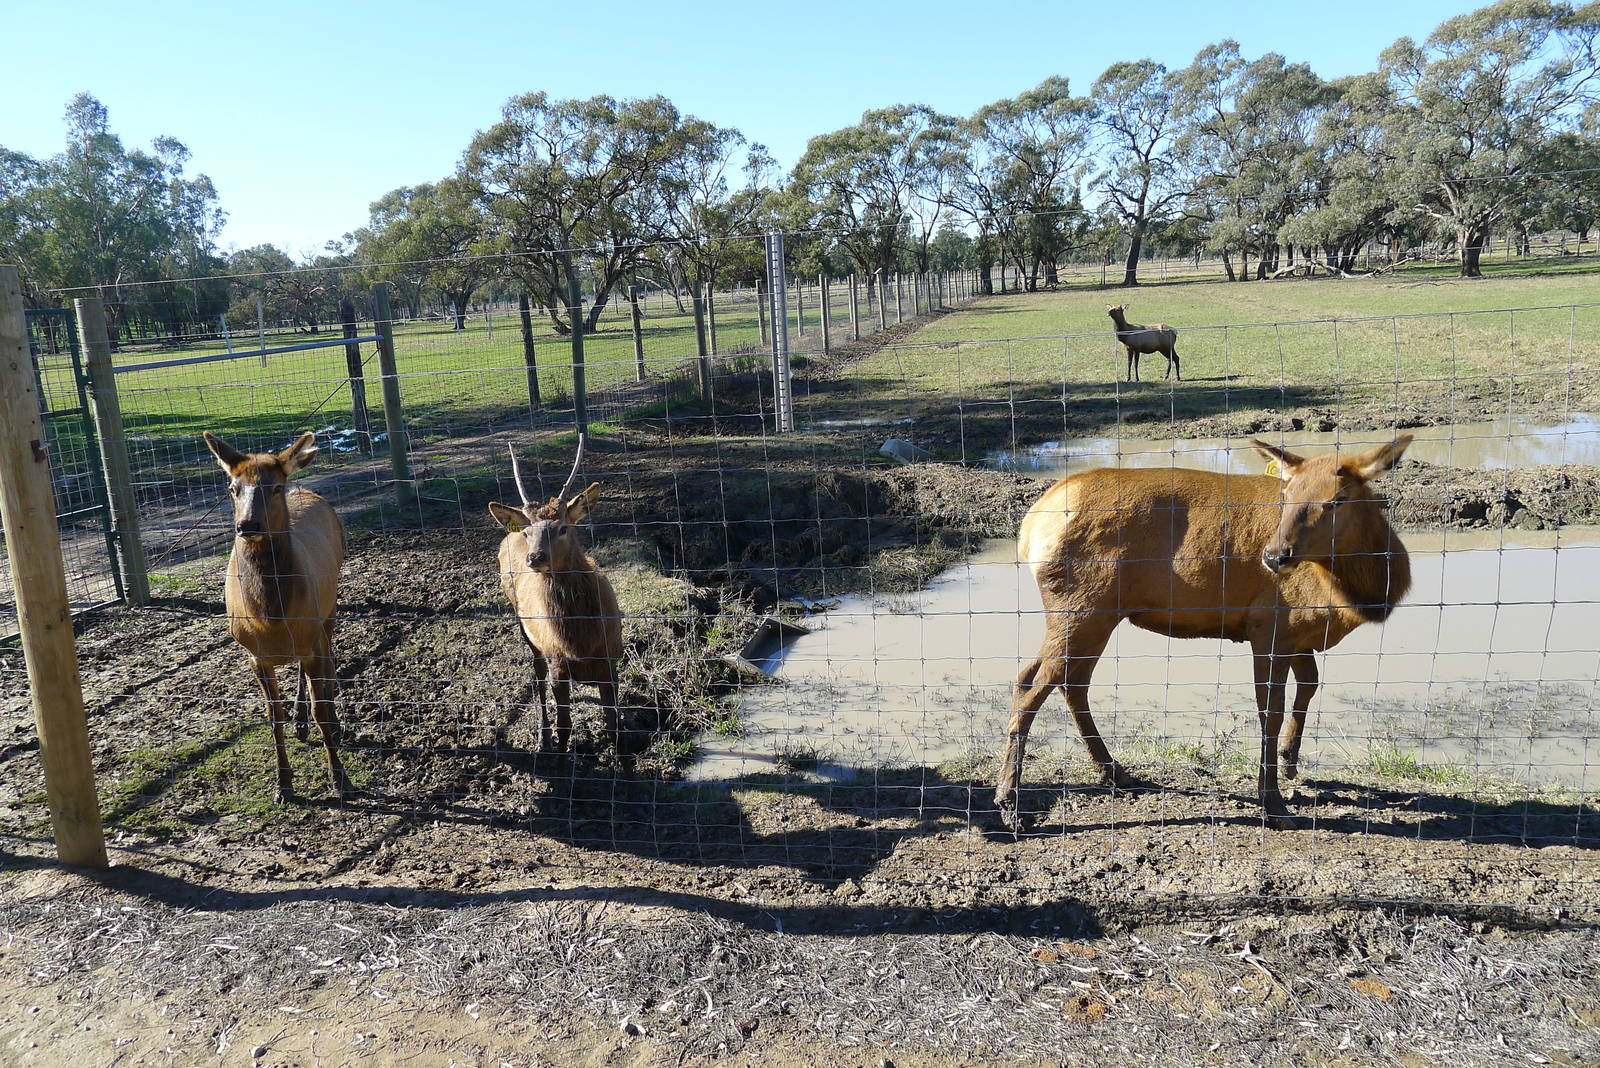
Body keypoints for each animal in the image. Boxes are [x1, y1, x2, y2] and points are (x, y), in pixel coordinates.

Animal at [203, 430, 353, 802]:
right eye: (232, 487)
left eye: (275, 487)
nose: (247, 524)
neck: (269, 618)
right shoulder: (254, 654)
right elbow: (274, 717)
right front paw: (283, 784)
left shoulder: (311, 634)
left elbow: (321, 709)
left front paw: (340, 779)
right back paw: (300, 722)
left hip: (329, 609)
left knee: (328, 662)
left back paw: (332, 719)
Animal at [488, 434, 624, 753]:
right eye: (529, 532)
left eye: (562, 527)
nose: (535, 557)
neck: (580, 640)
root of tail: (507, 532)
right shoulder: (557, 665)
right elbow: (565, 727)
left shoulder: (611, 660)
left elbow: (613, 725)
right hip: (525, 629)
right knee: (536, 674)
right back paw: (542, 734)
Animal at [996, 434, 1414, 833]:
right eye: (1286, 495)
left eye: (1338, 500)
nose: (1275, 556)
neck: (1358, 597)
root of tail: (1030, 528)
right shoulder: (1269, 625)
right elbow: (1270, 712)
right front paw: (1273, 803)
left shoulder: (1298, 636)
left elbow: (1309, 685)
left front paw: (1290, 761)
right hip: (1083, 607)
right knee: (1037, 689)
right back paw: (1009, 802)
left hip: (1091, 615)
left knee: (1051, 679)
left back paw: (1114, 772)